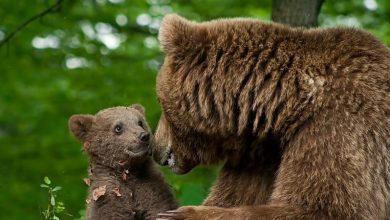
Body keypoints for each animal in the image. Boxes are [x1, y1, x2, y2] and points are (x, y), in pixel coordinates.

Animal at [152, 14, 390, 220]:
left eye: (160, 102)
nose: (156, 150)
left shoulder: (341, 125)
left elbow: (326, 208)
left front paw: (179, 214)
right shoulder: (262, 156)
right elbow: (235, 196)